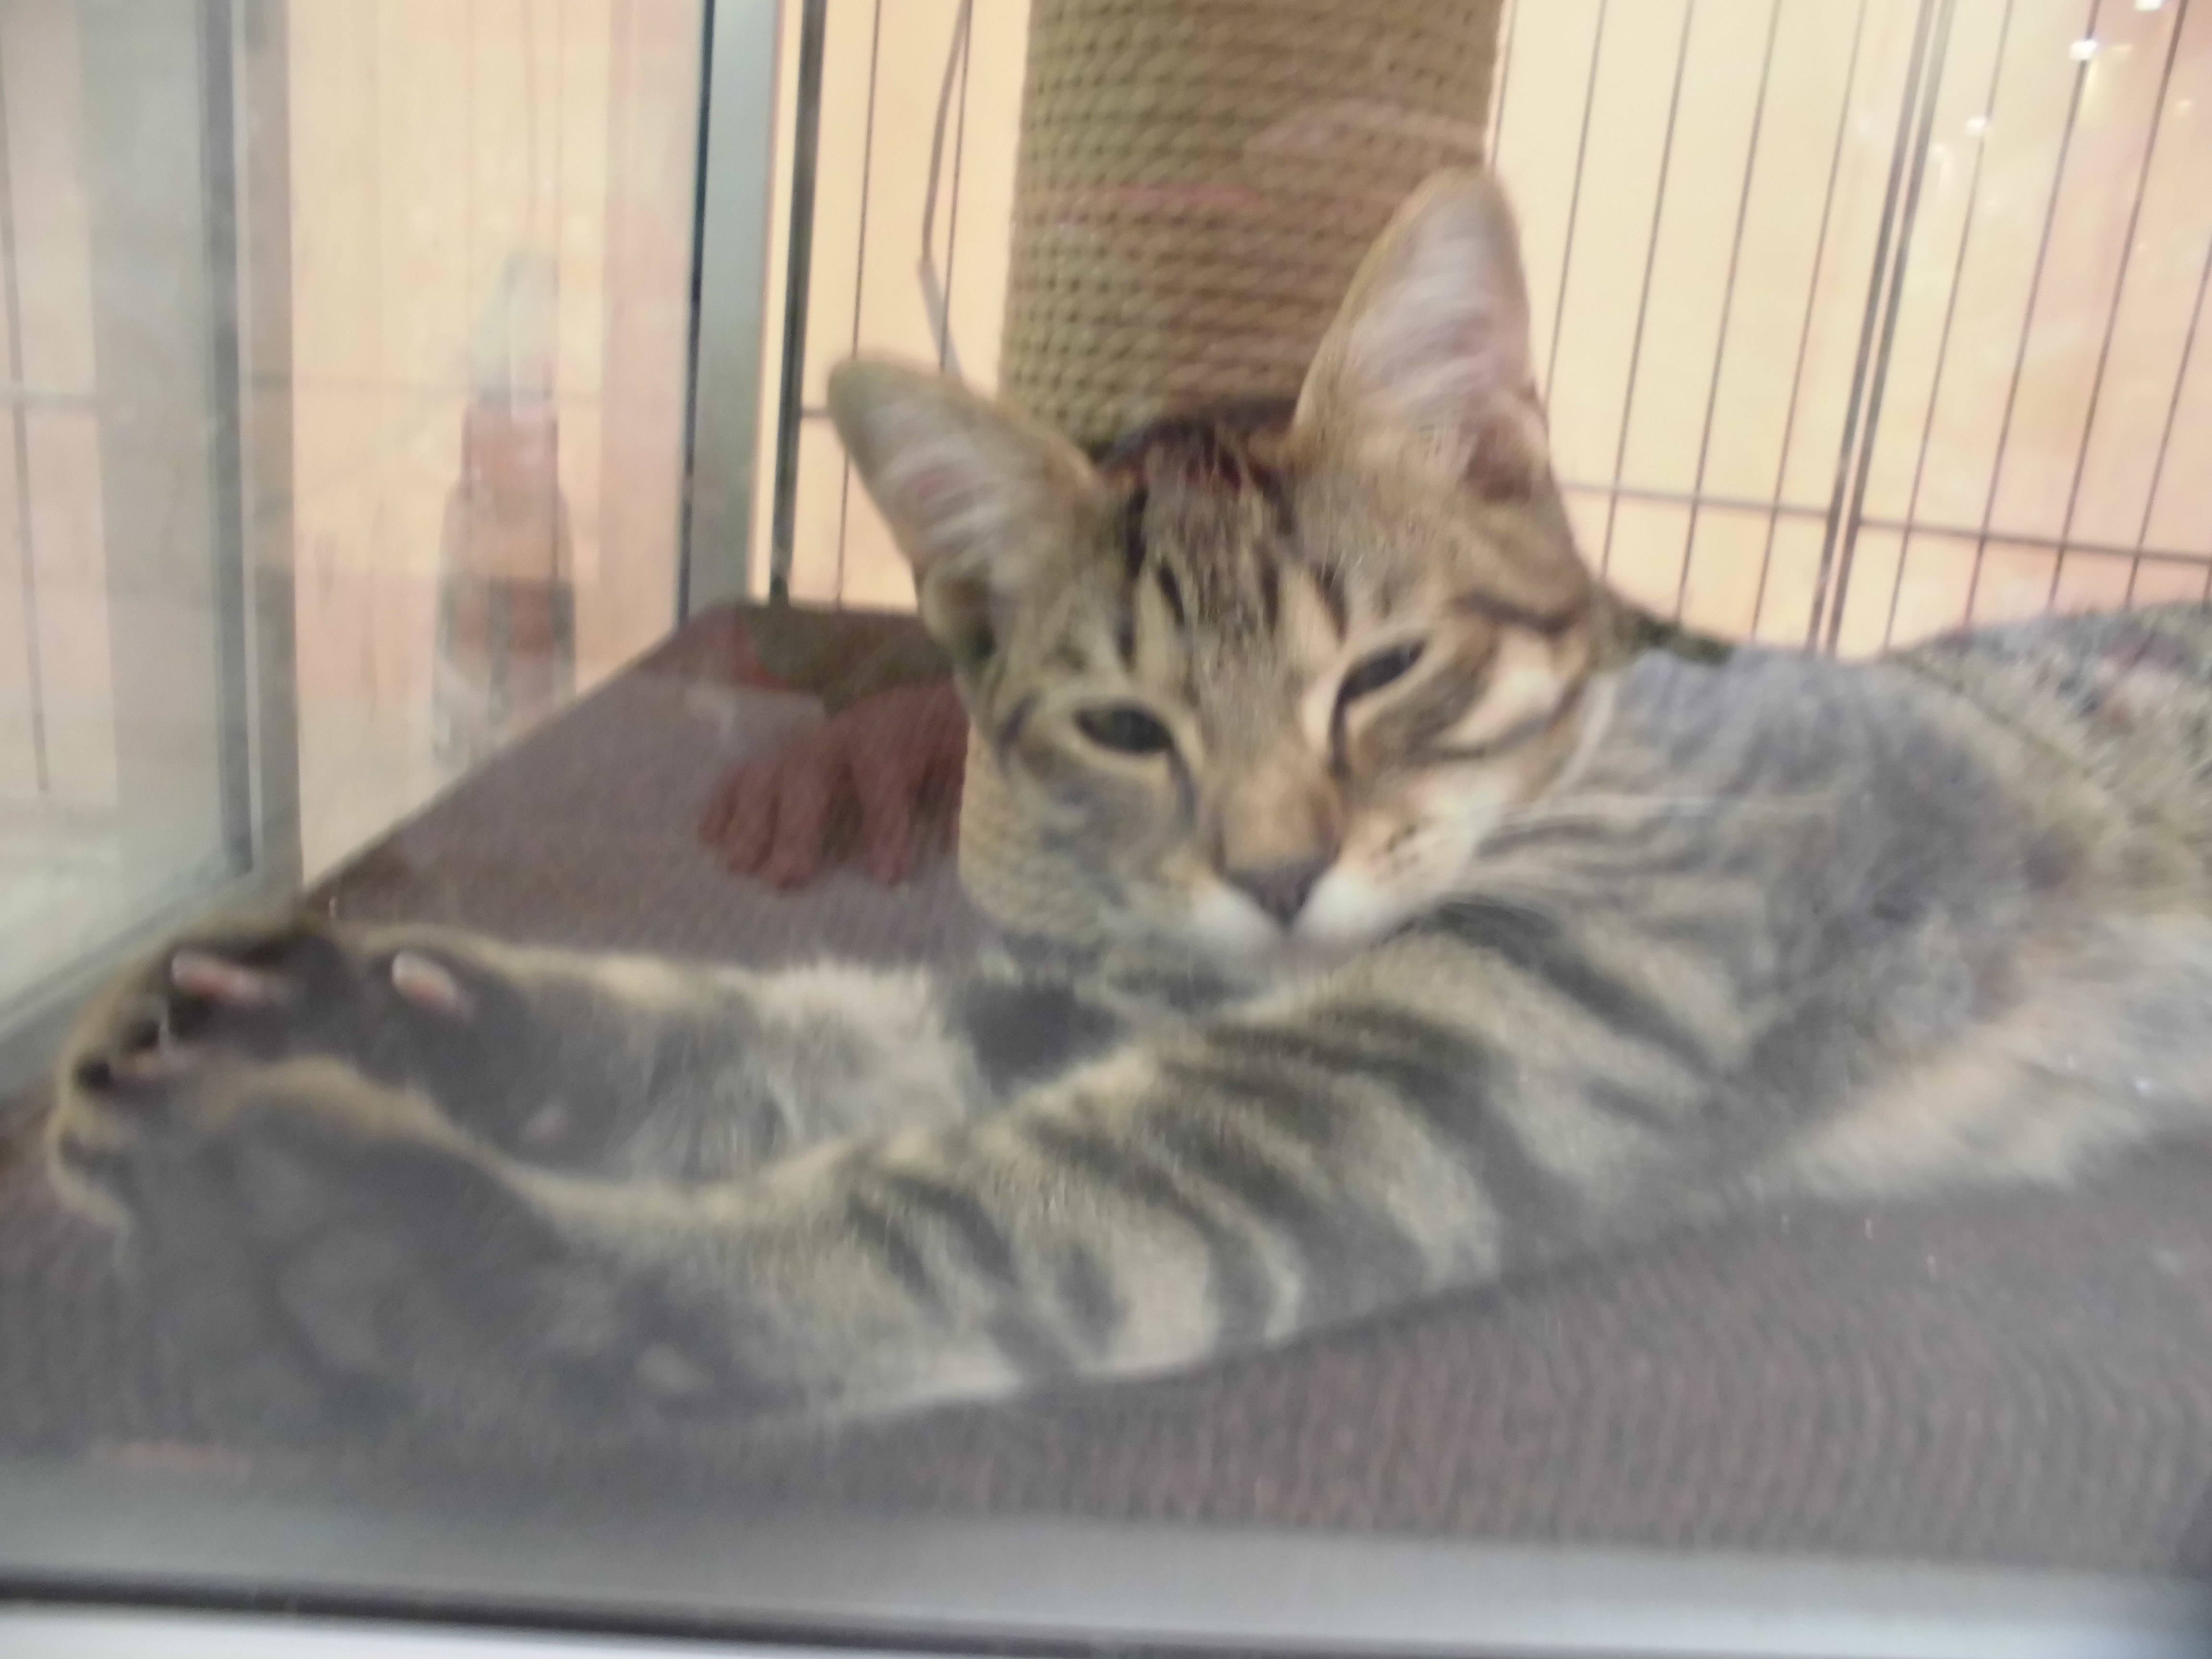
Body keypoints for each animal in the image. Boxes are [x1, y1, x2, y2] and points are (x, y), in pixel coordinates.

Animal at [44, 171, 2212, 1444]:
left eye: (1381, 675)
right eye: (1120, 728)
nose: (1276, 875)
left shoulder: (1501, 1011)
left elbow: (979, 1207)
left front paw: (425, 1255)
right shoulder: (1090, 996)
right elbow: (748, 1031)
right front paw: (340, 1004)